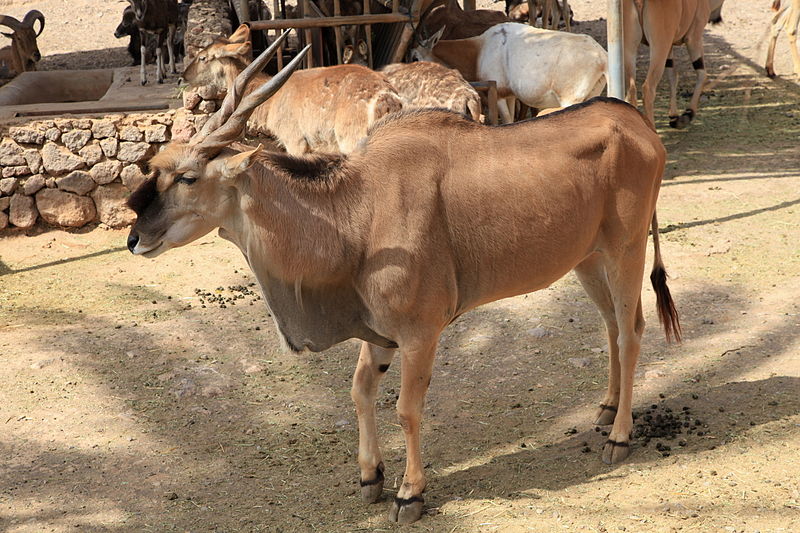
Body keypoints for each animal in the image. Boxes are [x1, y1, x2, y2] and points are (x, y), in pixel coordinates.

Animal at [412, 22, 608, 123]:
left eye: (414, 57)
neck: (480, 48)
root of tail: (602, 56)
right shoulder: (510, 95)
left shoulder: (498, 94)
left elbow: (507, 120)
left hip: (570, 100)